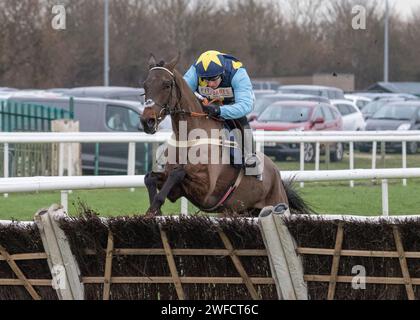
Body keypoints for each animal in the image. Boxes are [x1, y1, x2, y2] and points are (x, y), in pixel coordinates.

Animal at [139, 53, 310, 216]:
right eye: (145, 85)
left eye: (167, 85)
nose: (147, 121)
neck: (189, 138)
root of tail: (277, 175)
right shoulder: (175, 187)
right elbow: (149, 177)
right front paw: (154, 209)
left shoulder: (206, 189)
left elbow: (178, 173)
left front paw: (155, 206)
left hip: (277, 205)